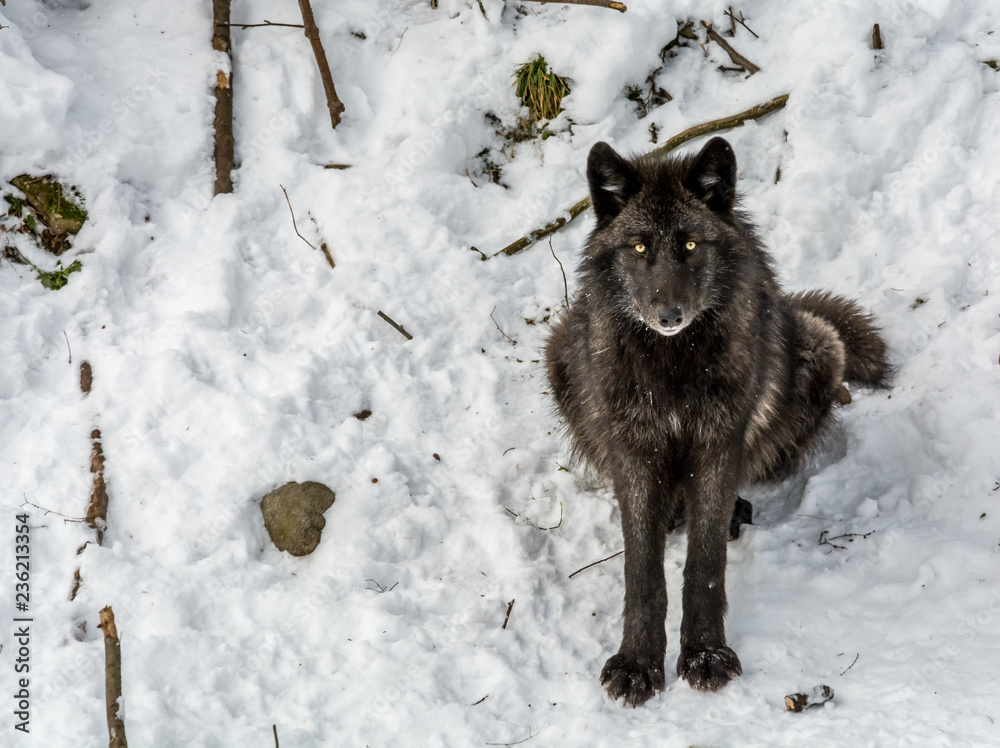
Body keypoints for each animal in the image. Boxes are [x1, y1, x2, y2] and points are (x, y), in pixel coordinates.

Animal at [548, 139, 884, 708]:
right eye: (639, 247)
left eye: (688, 244)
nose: (669, 314)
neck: (673, 365)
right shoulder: (634, 449)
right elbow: (642, 571)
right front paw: (637, 664)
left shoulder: (718, 444)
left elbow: (704, 565)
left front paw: (705, 654)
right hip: (558, 354)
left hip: (821, 346)